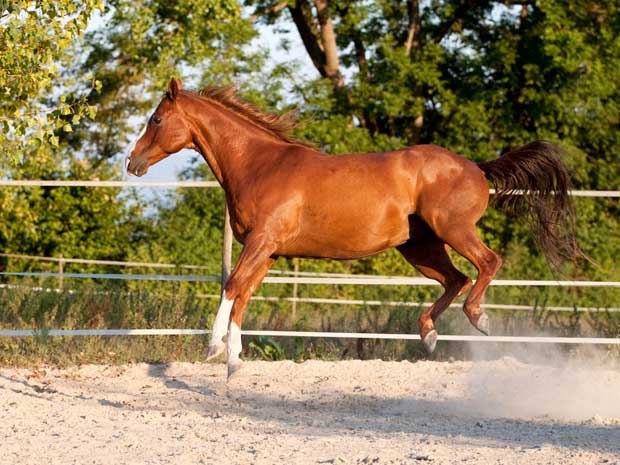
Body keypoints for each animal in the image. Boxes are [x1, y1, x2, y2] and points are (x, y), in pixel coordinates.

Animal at [124, 79, 580, 376]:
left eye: (157, 119)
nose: (133, 162)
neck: (259, 165)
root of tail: (476, 167)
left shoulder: (261, 242)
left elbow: (232, 286)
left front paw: (214, 347)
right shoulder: (268, 251)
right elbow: (243, 294)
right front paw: (234, 360)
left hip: (453, 231)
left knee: (487, 263)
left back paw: (478, 319)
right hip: (419, 247)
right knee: (456, 278)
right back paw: (429, 335)